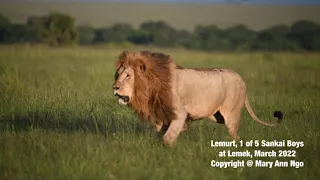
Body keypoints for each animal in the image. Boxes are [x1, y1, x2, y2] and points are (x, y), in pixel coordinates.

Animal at [112, 50, 282, 146]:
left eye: (128, 76)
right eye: (118, 74)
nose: (114, 87)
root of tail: (241, 79)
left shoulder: (179, 113)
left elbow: (168, 137)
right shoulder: (162, 116)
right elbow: (161, 135)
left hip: (231, 114)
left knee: (236, 136)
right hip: (217, 116)